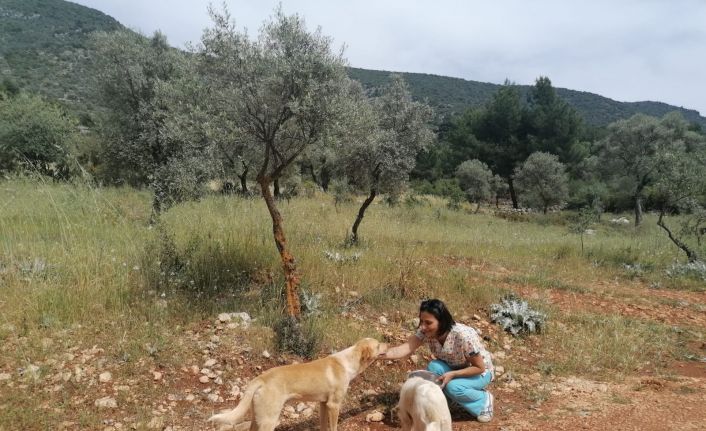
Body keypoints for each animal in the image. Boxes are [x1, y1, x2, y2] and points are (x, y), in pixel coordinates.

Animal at [206, 340, 388, 430]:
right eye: (379, 345)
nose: (389, 344)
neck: (349, 361)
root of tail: (261, 378)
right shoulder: (334, 405)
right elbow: (334, 427)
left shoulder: (324, 404)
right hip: (269, 420)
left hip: (258, 418)